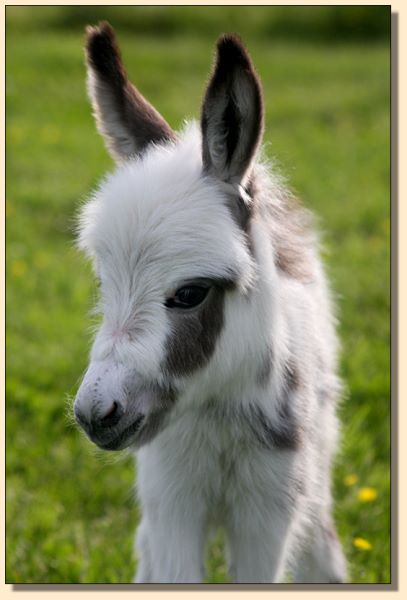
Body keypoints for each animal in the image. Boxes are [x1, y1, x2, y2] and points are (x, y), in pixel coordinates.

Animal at [74, 22, 348, 580]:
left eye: (190, 294)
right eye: (103, 283)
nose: (94, 414)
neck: (216, 412)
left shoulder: (270, 508)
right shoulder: (171, 500)